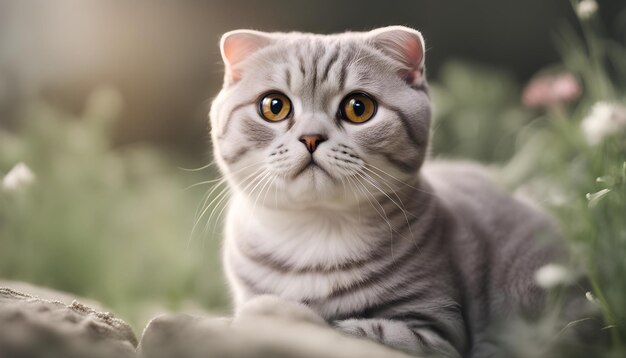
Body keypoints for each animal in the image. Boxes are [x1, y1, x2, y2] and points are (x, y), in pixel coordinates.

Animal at [210, 25, 576, 358]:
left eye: (358, 107)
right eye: (274, 106)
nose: (311, 137)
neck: (314, 231)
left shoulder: (437, 332)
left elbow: (344, 329)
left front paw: (272, 312)